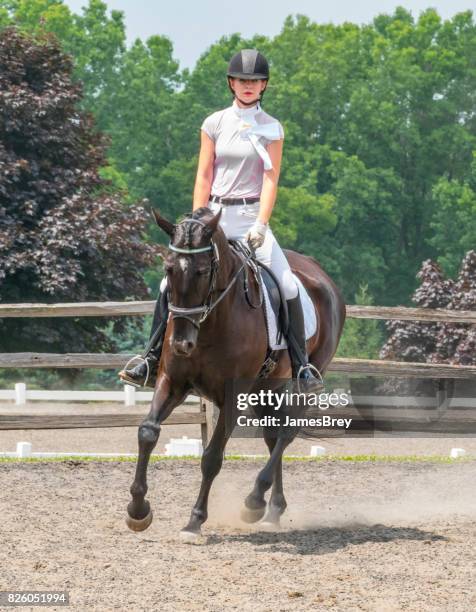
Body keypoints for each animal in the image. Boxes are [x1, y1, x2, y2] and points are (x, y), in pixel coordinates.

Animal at [124, 208, 344, 536]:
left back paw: (255, 500)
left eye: (203, 272)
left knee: (286, 433)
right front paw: (138, 510)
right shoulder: (172, 381)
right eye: (168, 269)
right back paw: (272, 510)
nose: (181, 344)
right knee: (273, 436)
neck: (211, 323)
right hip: (267, 388)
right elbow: (148, 432)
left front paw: (194, 521)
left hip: (303, 381)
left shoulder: (232, 397)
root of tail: (319, 271)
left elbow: (212, 457)